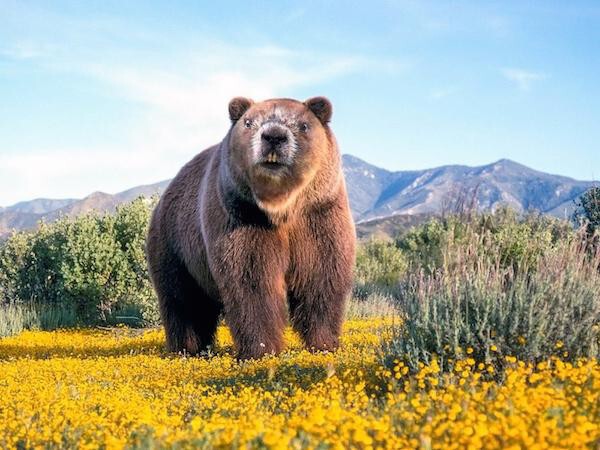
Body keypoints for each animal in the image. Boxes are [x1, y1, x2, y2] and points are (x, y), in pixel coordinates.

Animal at [146, 96, 356, 360]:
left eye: (303, 125)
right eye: (249, 122)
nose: (274, 137)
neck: (281, 209)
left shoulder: (318, 216)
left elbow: (321, 275)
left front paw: (324, 344)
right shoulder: (243, 218)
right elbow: (252, 280)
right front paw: (261, 349)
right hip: (176, 244)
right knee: (183, 300)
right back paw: (187, 348)